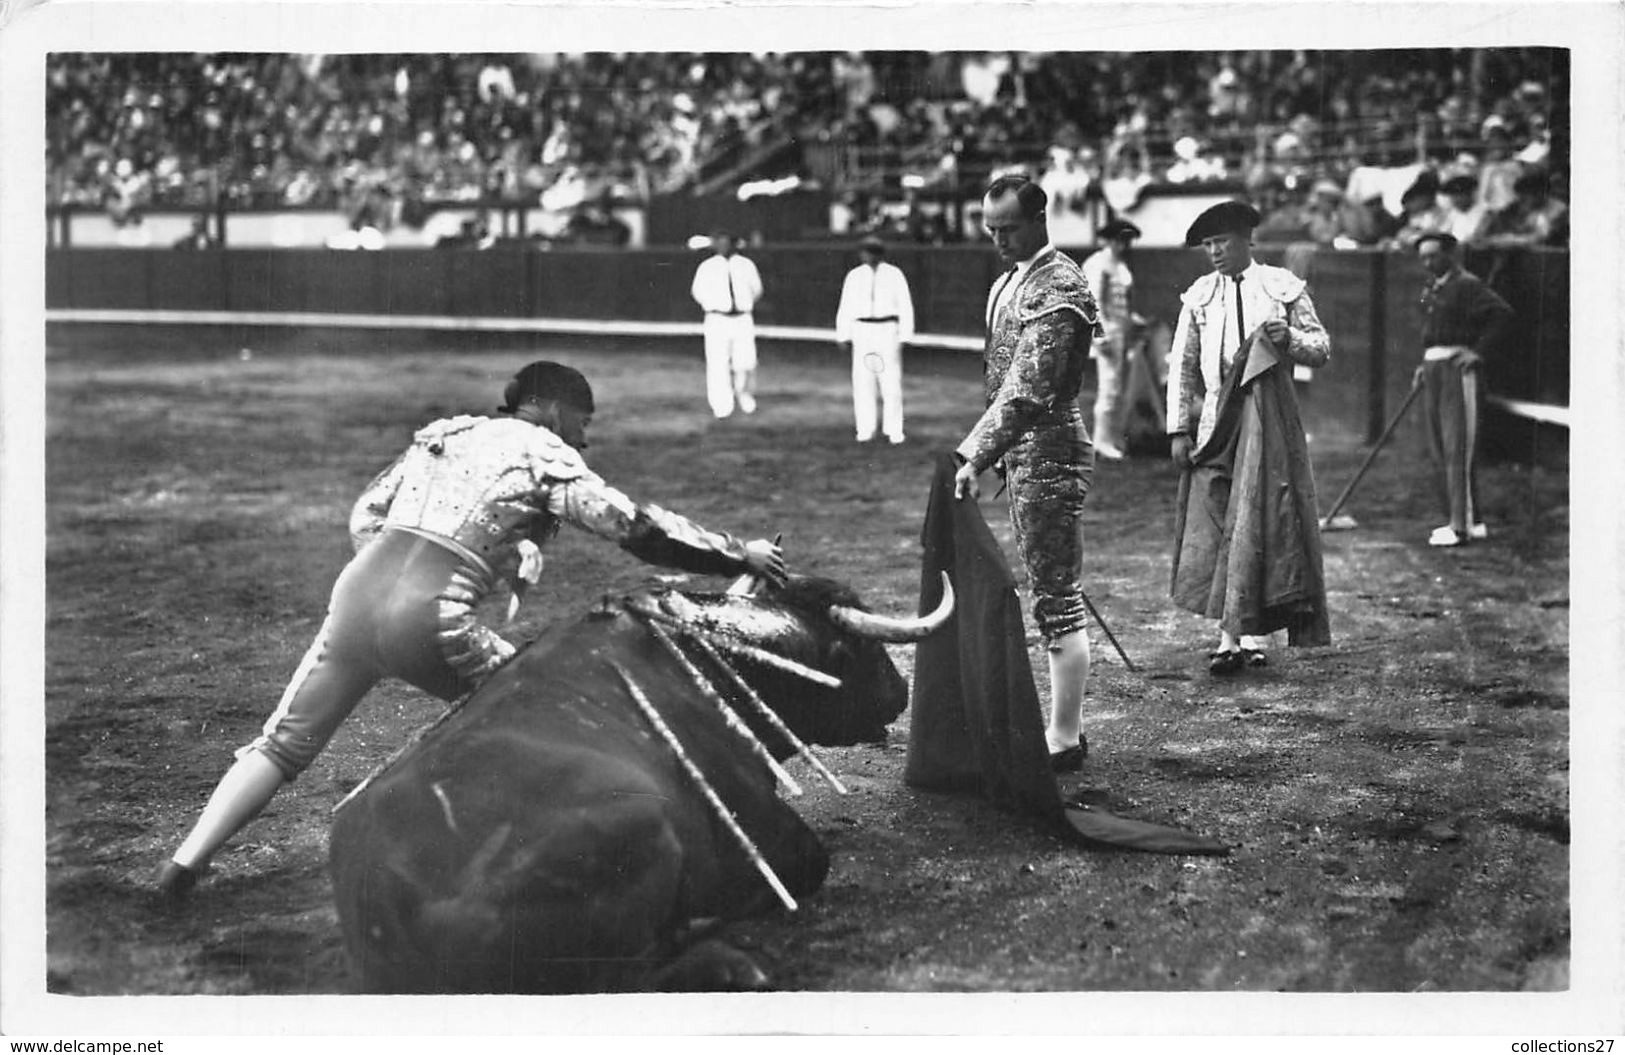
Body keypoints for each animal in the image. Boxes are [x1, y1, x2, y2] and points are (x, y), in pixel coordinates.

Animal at [326, 572, 949, 994]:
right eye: (864, 649)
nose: (902, 692)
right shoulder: (769, 830)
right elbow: (810, 863)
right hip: (643, 827)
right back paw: (727, 960)